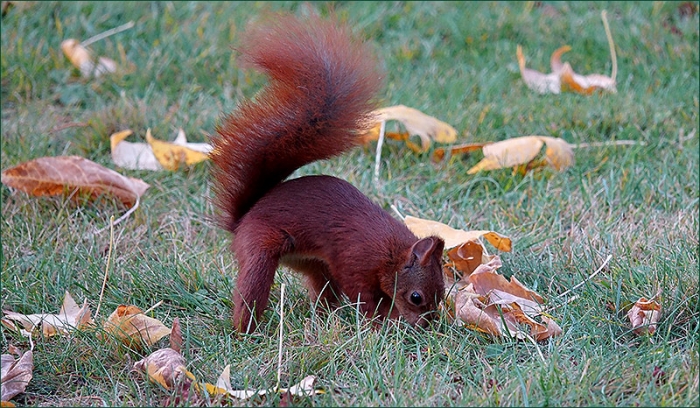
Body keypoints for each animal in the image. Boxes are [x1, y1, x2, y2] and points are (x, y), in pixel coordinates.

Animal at [210, 13, 445, 334]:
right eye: (416, 297)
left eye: (443, 293)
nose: (427, 326)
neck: (391, 253)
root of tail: (242, 219)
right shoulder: (355, 261)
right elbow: (364, 296)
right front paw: (383, 322)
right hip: (260, 246)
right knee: (251, 289)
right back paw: (247, 330)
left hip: (314, 264)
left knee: (322, 290)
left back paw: (325, 317)